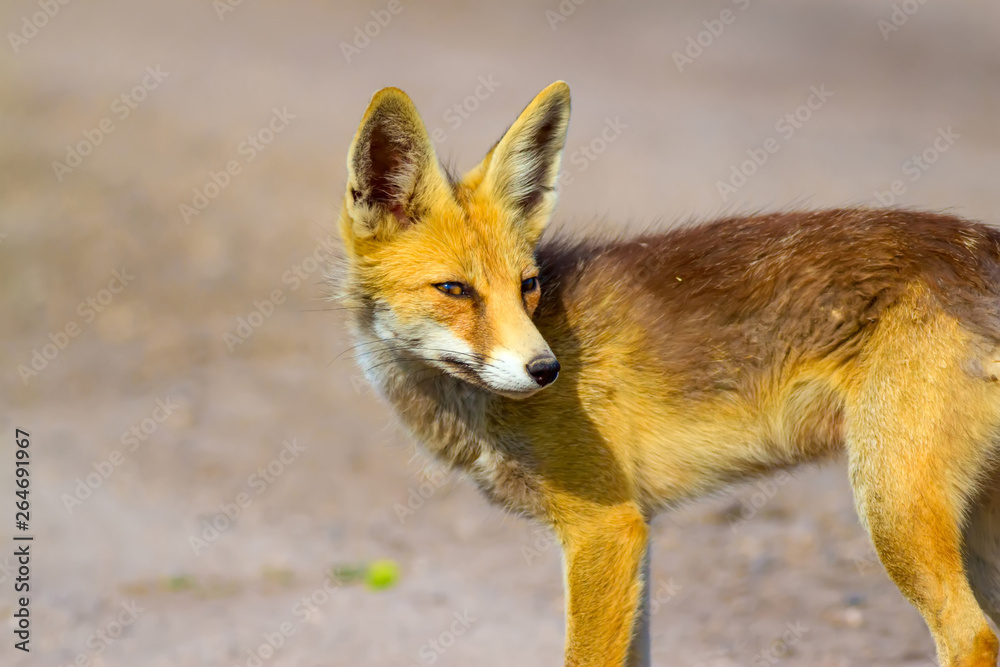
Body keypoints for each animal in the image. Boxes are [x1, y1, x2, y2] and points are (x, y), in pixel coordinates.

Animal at [334, 80, 1000, 666]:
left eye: (527, 286)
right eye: (454, 289)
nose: (548, 370)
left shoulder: (607, 529)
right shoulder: (636, 530)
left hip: (893, 506)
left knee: (974, 639)